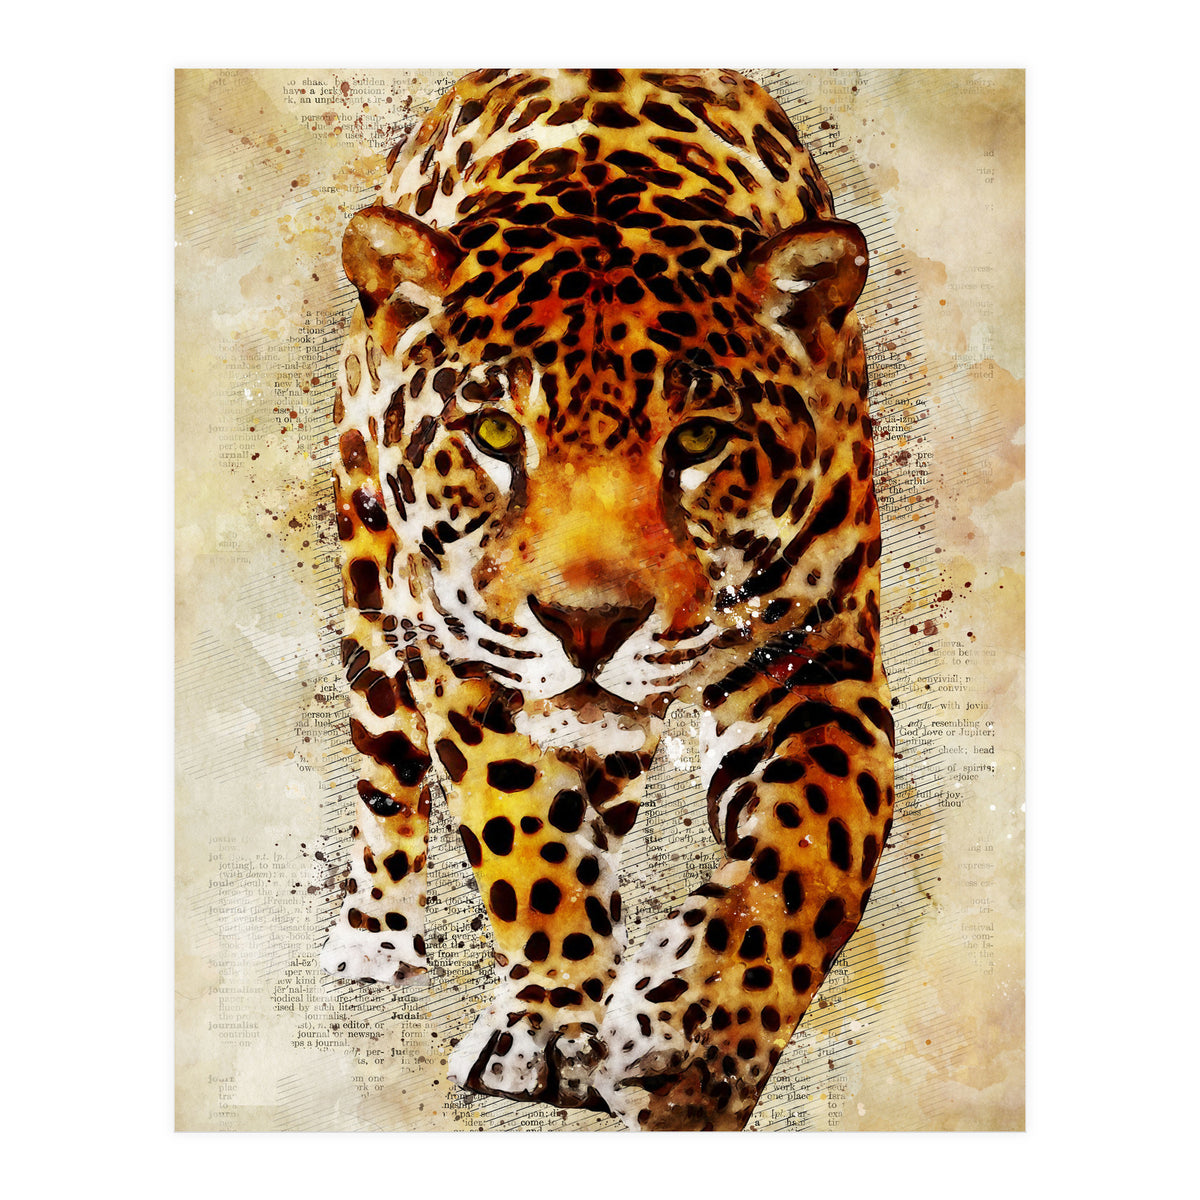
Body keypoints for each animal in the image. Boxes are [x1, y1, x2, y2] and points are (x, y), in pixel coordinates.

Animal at [320, 68, 894, 1132]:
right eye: (494, 433)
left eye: (700, 439)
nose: (590, 625)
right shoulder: (464, 652)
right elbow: (522, 824)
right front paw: (549, 1021)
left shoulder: (820, 666)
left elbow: (809, 857)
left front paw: (688, 1048)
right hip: (373, 593)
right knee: (386, 768)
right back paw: (375, 937)